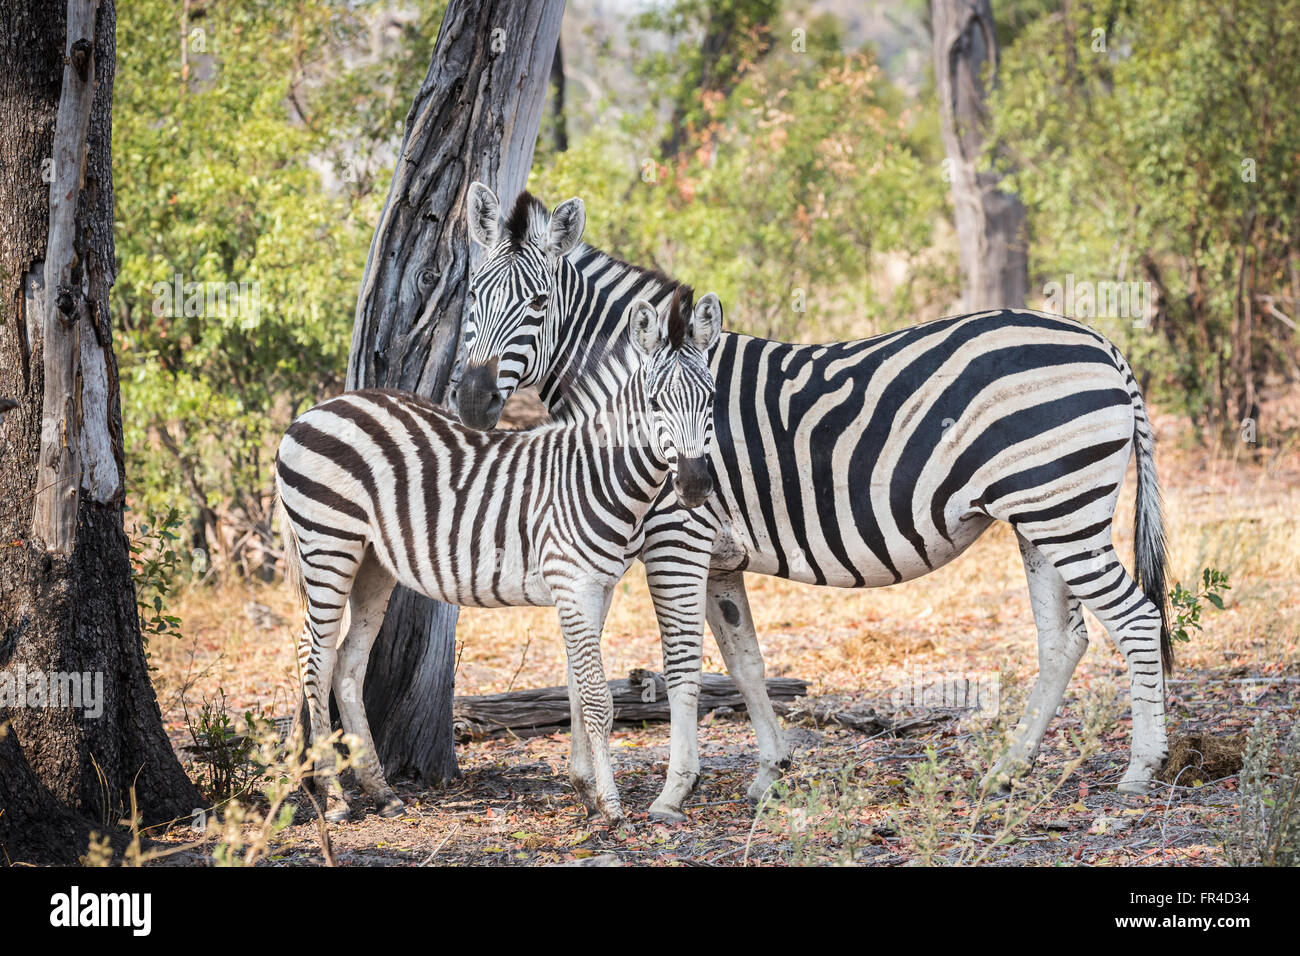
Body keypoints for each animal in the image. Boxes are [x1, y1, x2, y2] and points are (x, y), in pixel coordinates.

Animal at [275, 286, 723, 826]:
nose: (695, 485)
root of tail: (316, 410)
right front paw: (612, 807)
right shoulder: (572, 582)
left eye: (712, 399)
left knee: (346, 664)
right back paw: (336, 798)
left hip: (372, 561)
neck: (596, 473)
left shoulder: (601, 585)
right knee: (313, 657)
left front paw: (588, 791)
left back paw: (381, 792)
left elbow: (579, 689)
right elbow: (597, 697)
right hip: (328, 542)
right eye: (655, 403)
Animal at [453, 183, 1174, 819]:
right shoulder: (714, 558)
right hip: (1039, 518)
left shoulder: (676, 542)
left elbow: (680, 665)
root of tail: (1103, 344)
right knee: (1064, 640)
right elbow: (742, 662)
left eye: (538, 301)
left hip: (1064, 510)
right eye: (470, 294)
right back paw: (1007, 770)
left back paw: (1141, 769)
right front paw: (769, 770)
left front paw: (671, 791)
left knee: (1136, 618)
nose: (472, 401)